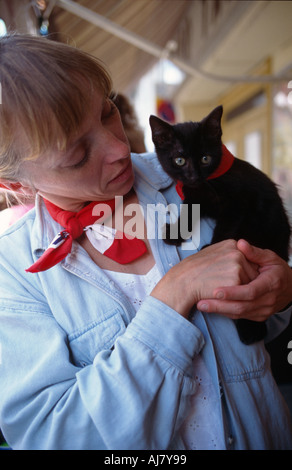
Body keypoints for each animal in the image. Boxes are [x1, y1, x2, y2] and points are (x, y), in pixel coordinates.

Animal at [149, 106, 290, 346]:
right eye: (179, 160)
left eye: (205, 158)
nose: (194, 175)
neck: (207, 185)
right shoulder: (193, 196)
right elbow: (187, 213)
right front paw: (176, 233)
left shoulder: (238, 203)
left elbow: (227, 227)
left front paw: (212, 248)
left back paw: (250, 332)